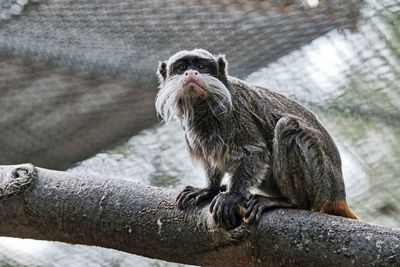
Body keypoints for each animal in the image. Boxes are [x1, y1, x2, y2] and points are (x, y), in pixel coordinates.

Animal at [155, 48, 358, 230]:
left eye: (201, 66)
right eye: (181, 68)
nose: (191, 73)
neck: (205, 108)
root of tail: (337, 194)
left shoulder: (236, 112)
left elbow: (255, 151)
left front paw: (232, 196)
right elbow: (211, 158)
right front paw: (209, 189)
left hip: (321, 180)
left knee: (287, 126)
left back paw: (290, 202)